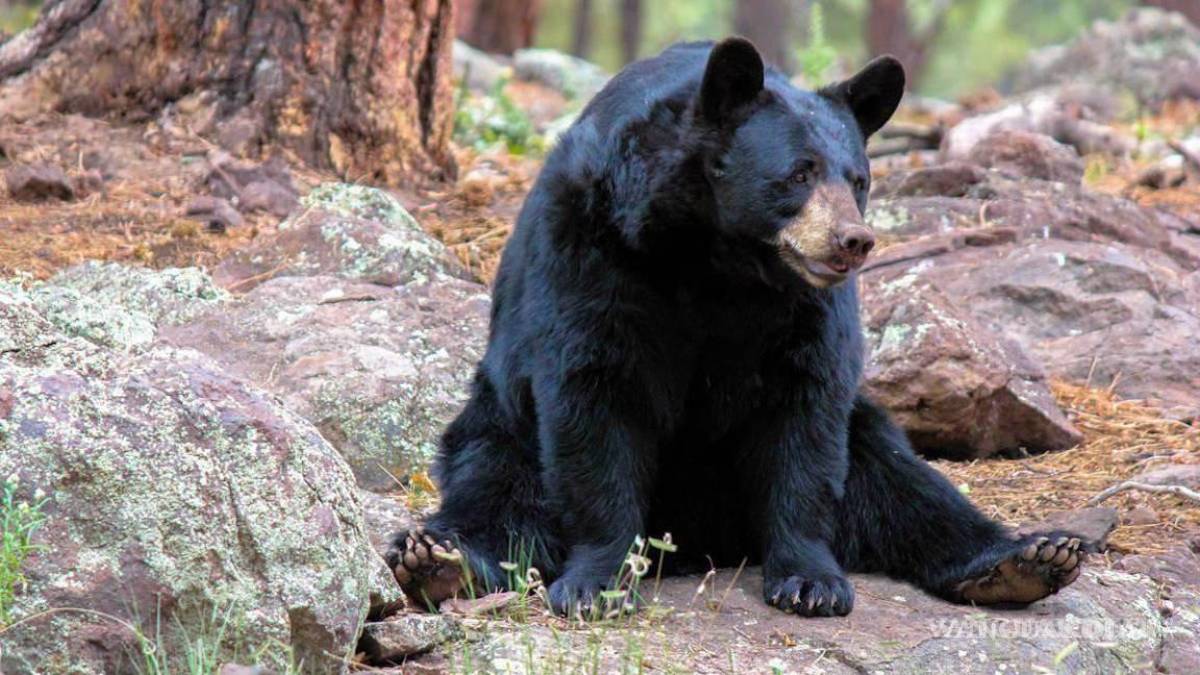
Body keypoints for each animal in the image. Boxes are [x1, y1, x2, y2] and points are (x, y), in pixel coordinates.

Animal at [386, 38, 1085, 618]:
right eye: (799, 172)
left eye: (858, 179)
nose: (853, 240)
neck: (715, 257)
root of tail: (705, 543)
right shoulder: (592, 248)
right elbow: (593, 396)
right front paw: (596, 584)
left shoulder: (803, 309)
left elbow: (806, 419)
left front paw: (810, 581)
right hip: (500, 420)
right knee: (494, 488)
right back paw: (436, 559)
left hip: (865, 434)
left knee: (904, 483)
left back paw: (1027, 559)